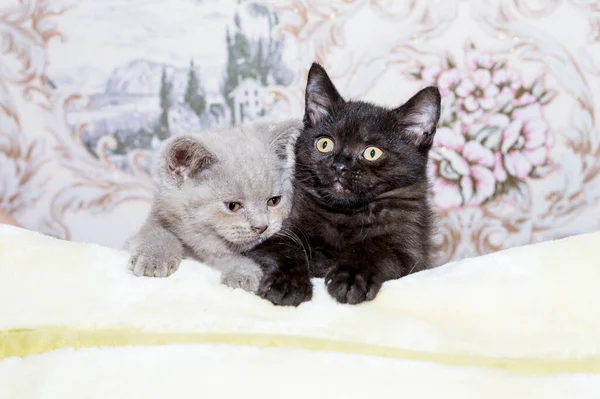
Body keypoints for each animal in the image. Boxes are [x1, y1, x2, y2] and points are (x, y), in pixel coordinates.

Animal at [128, 120, 302, 292]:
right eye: (233, 206)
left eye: (274, 201)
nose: (261, 227)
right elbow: (156, 232)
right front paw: (154, 258)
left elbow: (224, 256)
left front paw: (242, 272)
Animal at [244, 62, 440, 306]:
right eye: (325, 144)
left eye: (372, 152)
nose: (339, 166)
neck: (347, 214)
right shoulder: (268, 234)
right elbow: (286, 249)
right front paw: (287, 283)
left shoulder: (412, 254)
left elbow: (374, 248)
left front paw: (351, 278)